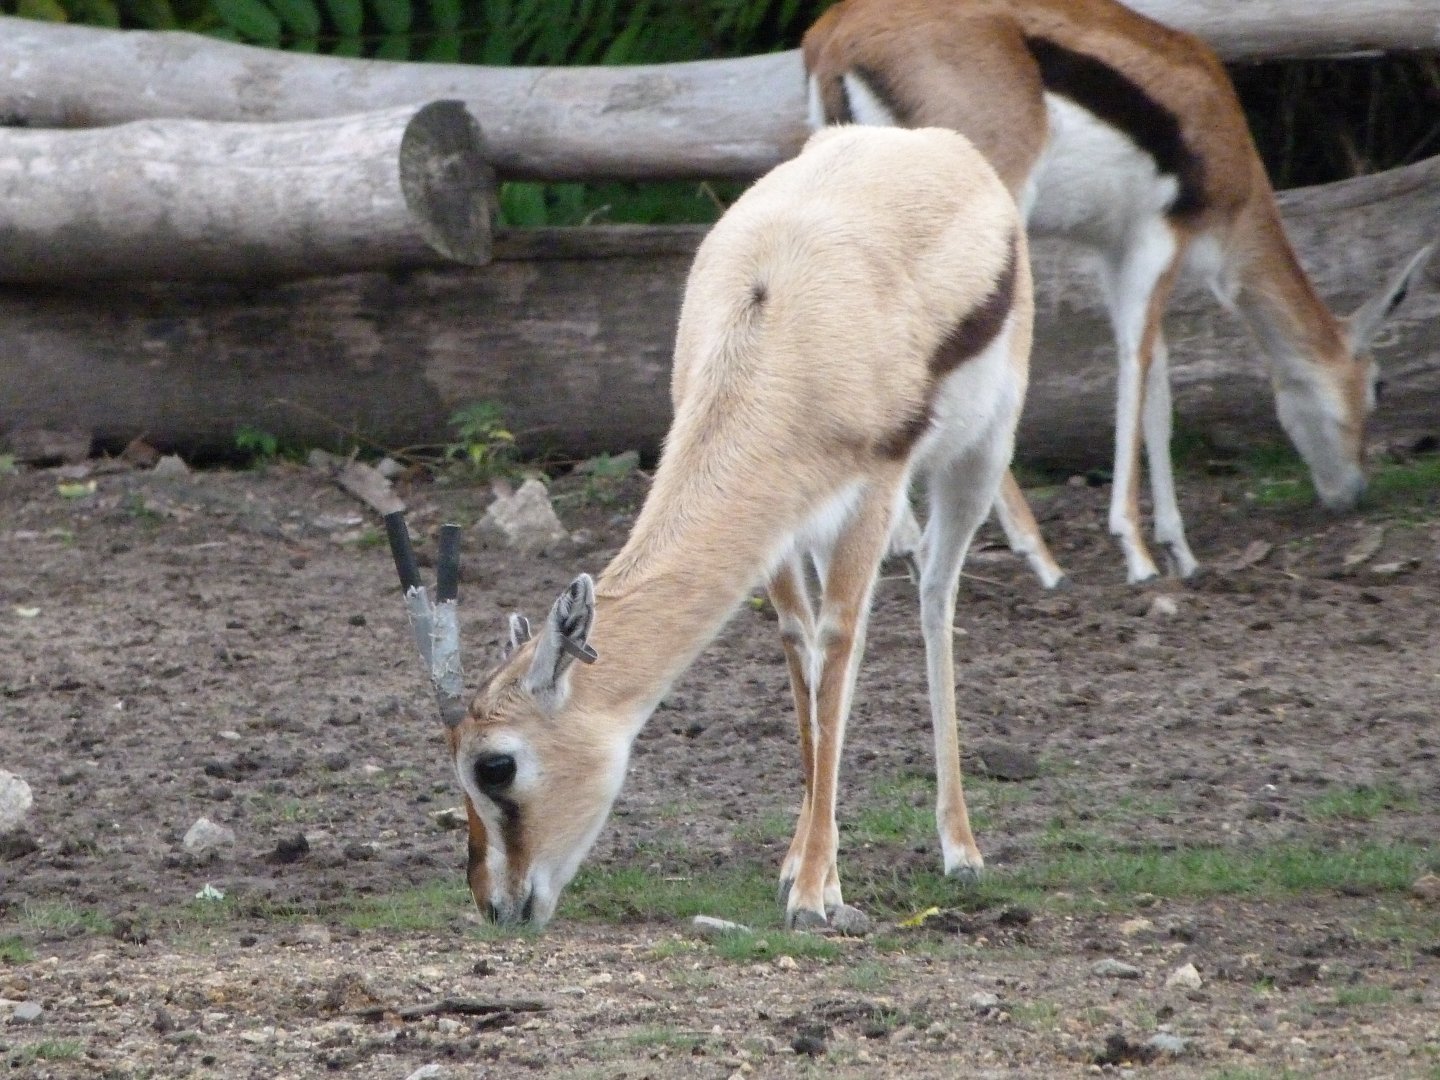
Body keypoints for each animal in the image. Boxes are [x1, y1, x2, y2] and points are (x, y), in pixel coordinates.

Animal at [447, 125, 1032, 928]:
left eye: (495, 766)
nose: (495, 906)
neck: (778, 342)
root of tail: (925, 141)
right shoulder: (776, 519)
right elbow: (799, 644)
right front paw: (806, 873)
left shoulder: (874, 491)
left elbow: (838, 643)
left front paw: (814, 897)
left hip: (978, 455)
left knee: (934, 597)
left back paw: (961, 852)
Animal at [804, 0, 1432, 586]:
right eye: (1378, 385)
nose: (1354, 491)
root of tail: (835, 36)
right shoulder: (1158, 243)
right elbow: (1134, 368)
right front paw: (1137, 553)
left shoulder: (1114, 252)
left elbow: (1158, 392)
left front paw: (1182, 551)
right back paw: (1038, 559)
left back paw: (895, 545)